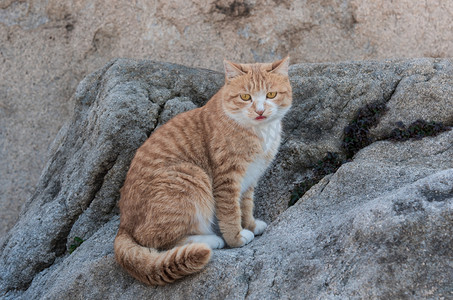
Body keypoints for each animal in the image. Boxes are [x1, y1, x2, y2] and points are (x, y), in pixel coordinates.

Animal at [114, 56, 294, 286]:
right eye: (245, 97)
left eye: (271, 95)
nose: (260, 111)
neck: (259, 132)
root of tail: (123, 225)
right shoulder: (226, 179)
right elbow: (230, 213)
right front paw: (236, 238)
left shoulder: (250, 178)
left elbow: (245, 206)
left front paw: (251, 225)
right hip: (191, 177)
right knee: (156, 241)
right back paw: (210, 240)